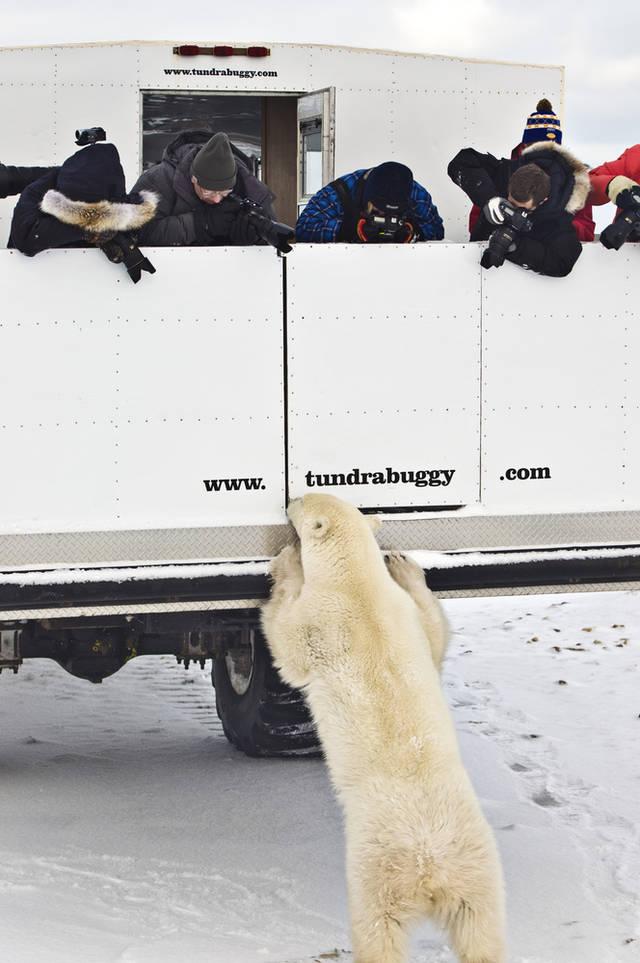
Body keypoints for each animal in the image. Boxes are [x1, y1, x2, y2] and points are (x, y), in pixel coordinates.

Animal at [260, 498, 504, 963]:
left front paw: (287, 564)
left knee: (378, 930)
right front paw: (404, 563)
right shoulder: (401, 611)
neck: (356, 583)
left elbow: (287, 643)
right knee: (481, 931)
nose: (288, 502)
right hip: (477, 869)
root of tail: (431, 865)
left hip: (377, 869)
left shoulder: (321, 621)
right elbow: (433, 632)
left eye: (304, 501)